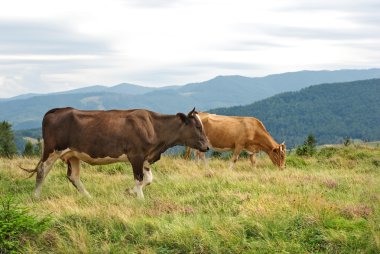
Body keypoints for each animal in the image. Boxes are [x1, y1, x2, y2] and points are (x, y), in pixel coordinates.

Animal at [21, 107, 208, 198]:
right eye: (198, 127)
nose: (207, 146)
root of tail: (57, 110)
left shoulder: (146, 158)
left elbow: (148, 179)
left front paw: (130, 192)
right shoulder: (136, 156)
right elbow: (139, 179)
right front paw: (140, 198)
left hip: (73, 154)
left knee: (73, 176)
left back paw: (88, 197)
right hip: (52, 150)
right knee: (41, 171)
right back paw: (36, 196)